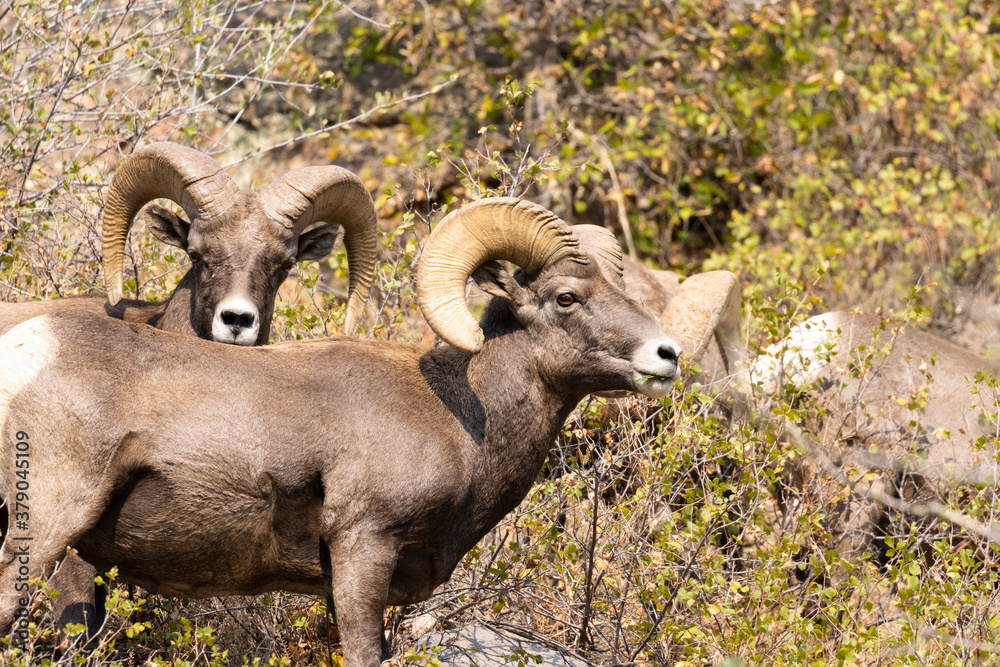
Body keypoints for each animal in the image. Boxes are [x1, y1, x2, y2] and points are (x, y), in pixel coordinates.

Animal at [0, 198, 680, 665]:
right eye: (566, 297)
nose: (666, 355)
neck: (464, 413)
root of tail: (25, 349)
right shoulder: (364, 547)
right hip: (50, 524)